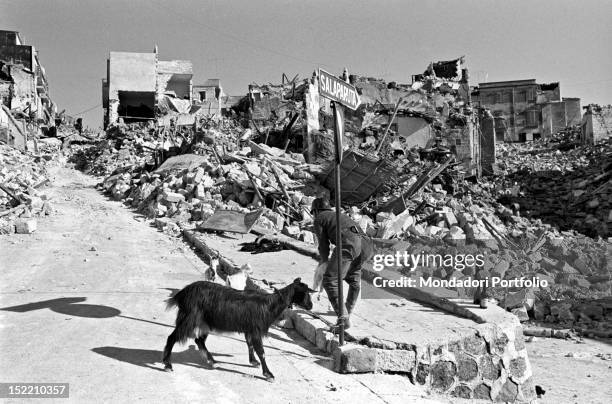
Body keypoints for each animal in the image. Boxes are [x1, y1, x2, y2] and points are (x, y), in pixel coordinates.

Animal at [161, 276, 314, 380]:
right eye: (305, 293)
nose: (311, 306)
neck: (270, 305)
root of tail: (182, 294)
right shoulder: (256, 329)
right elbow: (261, 351)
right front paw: (268, 374)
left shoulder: (249, 329)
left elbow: (250, 345)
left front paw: (253, 362)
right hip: (189, 319)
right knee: (172, 337)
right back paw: (168, 365)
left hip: (206, 322)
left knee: (199, 340)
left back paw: (212, 361)